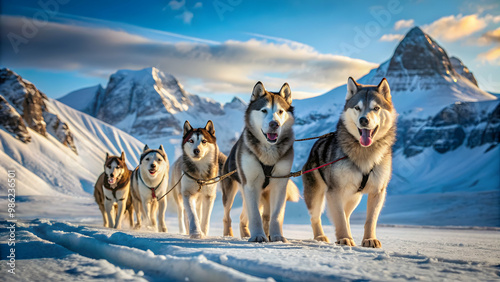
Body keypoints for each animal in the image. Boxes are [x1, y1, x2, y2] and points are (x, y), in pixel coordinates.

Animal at [223, 81, 296, 242]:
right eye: (264, 110)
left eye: (280, 111)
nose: (275, 124)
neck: (268, 150)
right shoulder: (250, 184)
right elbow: (255, 215)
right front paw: (257, 236)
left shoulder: (280, 184)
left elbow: (276, 216)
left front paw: (277, 236)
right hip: (231, 192)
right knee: (228, 215)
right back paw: (229, 234)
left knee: (252, 216)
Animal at [302, 77, 396, 247]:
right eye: (357, 108)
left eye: (376, 108)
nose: (364, 120)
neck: (365, 152)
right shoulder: (335, 191)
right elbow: (339, 218)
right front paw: (344, 239)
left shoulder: (378, 191)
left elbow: (370, 219)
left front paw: (369, 239)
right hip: (316, 194)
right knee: (316, 216)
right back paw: (320, 236)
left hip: (354, 197)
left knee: (346, 214)